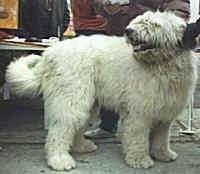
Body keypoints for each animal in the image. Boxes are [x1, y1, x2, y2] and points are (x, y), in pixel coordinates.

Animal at [5, 11, 198, 170]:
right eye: (140, 21)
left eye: (153, 24)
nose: (128, 31)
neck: (161, 66)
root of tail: (51, 52)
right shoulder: (139, 111)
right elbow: (137, 137)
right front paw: (139, 159)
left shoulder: (165, 111)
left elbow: (161, 137)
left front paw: (163, 154)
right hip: (72, 97)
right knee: (60, 129)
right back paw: (59, 159)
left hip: (87, 101)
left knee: (77, 126)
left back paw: (82, 147)